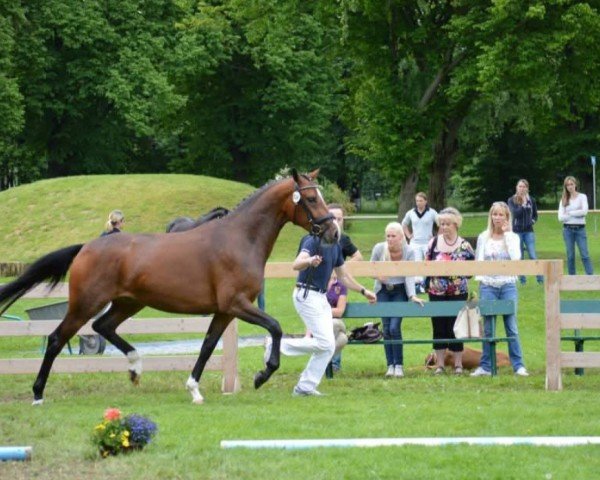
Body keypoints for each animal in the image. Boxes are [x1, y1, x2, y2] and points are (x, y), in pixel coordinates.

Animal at [0, 169, 338, 404]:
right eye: (310, 199)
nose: (333, 232)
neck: (240, 239)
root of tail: (88, 246)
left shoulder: (224, 311)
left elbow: (207, 346)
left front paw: (194, 390)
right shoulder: (237, 304)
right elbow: (276, 327)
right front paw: (262, 375)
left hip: (128, 303)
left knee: (103, 327)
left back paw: (135, 367)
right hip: (86, 303)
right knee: (58, 338)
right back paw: (38, 393)